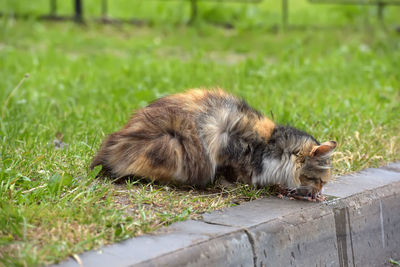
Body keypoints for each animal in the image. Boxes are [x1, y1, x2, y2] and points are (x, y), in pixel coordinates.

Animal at [89, 89, 336, 198]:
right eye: (320, 180)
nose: (319, 193)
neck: (270, 145)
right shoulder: (231, 150)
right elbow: (233, 175)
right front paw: (238, 186)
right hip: (174, 148)